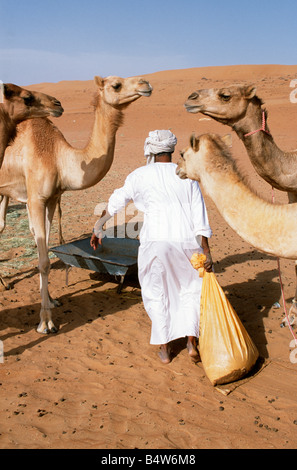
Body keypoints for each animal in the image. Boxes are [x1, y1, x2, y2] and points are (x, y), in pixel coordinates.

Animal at [0, 75, 151, 334]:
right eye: (116, 85)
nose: (145, 84)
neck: (58, 156)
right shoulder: (36, 199)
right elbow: (43, 260)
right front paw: (46, 322)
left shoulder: (51, 199)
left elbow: (43, 248)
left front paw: (51, 300)